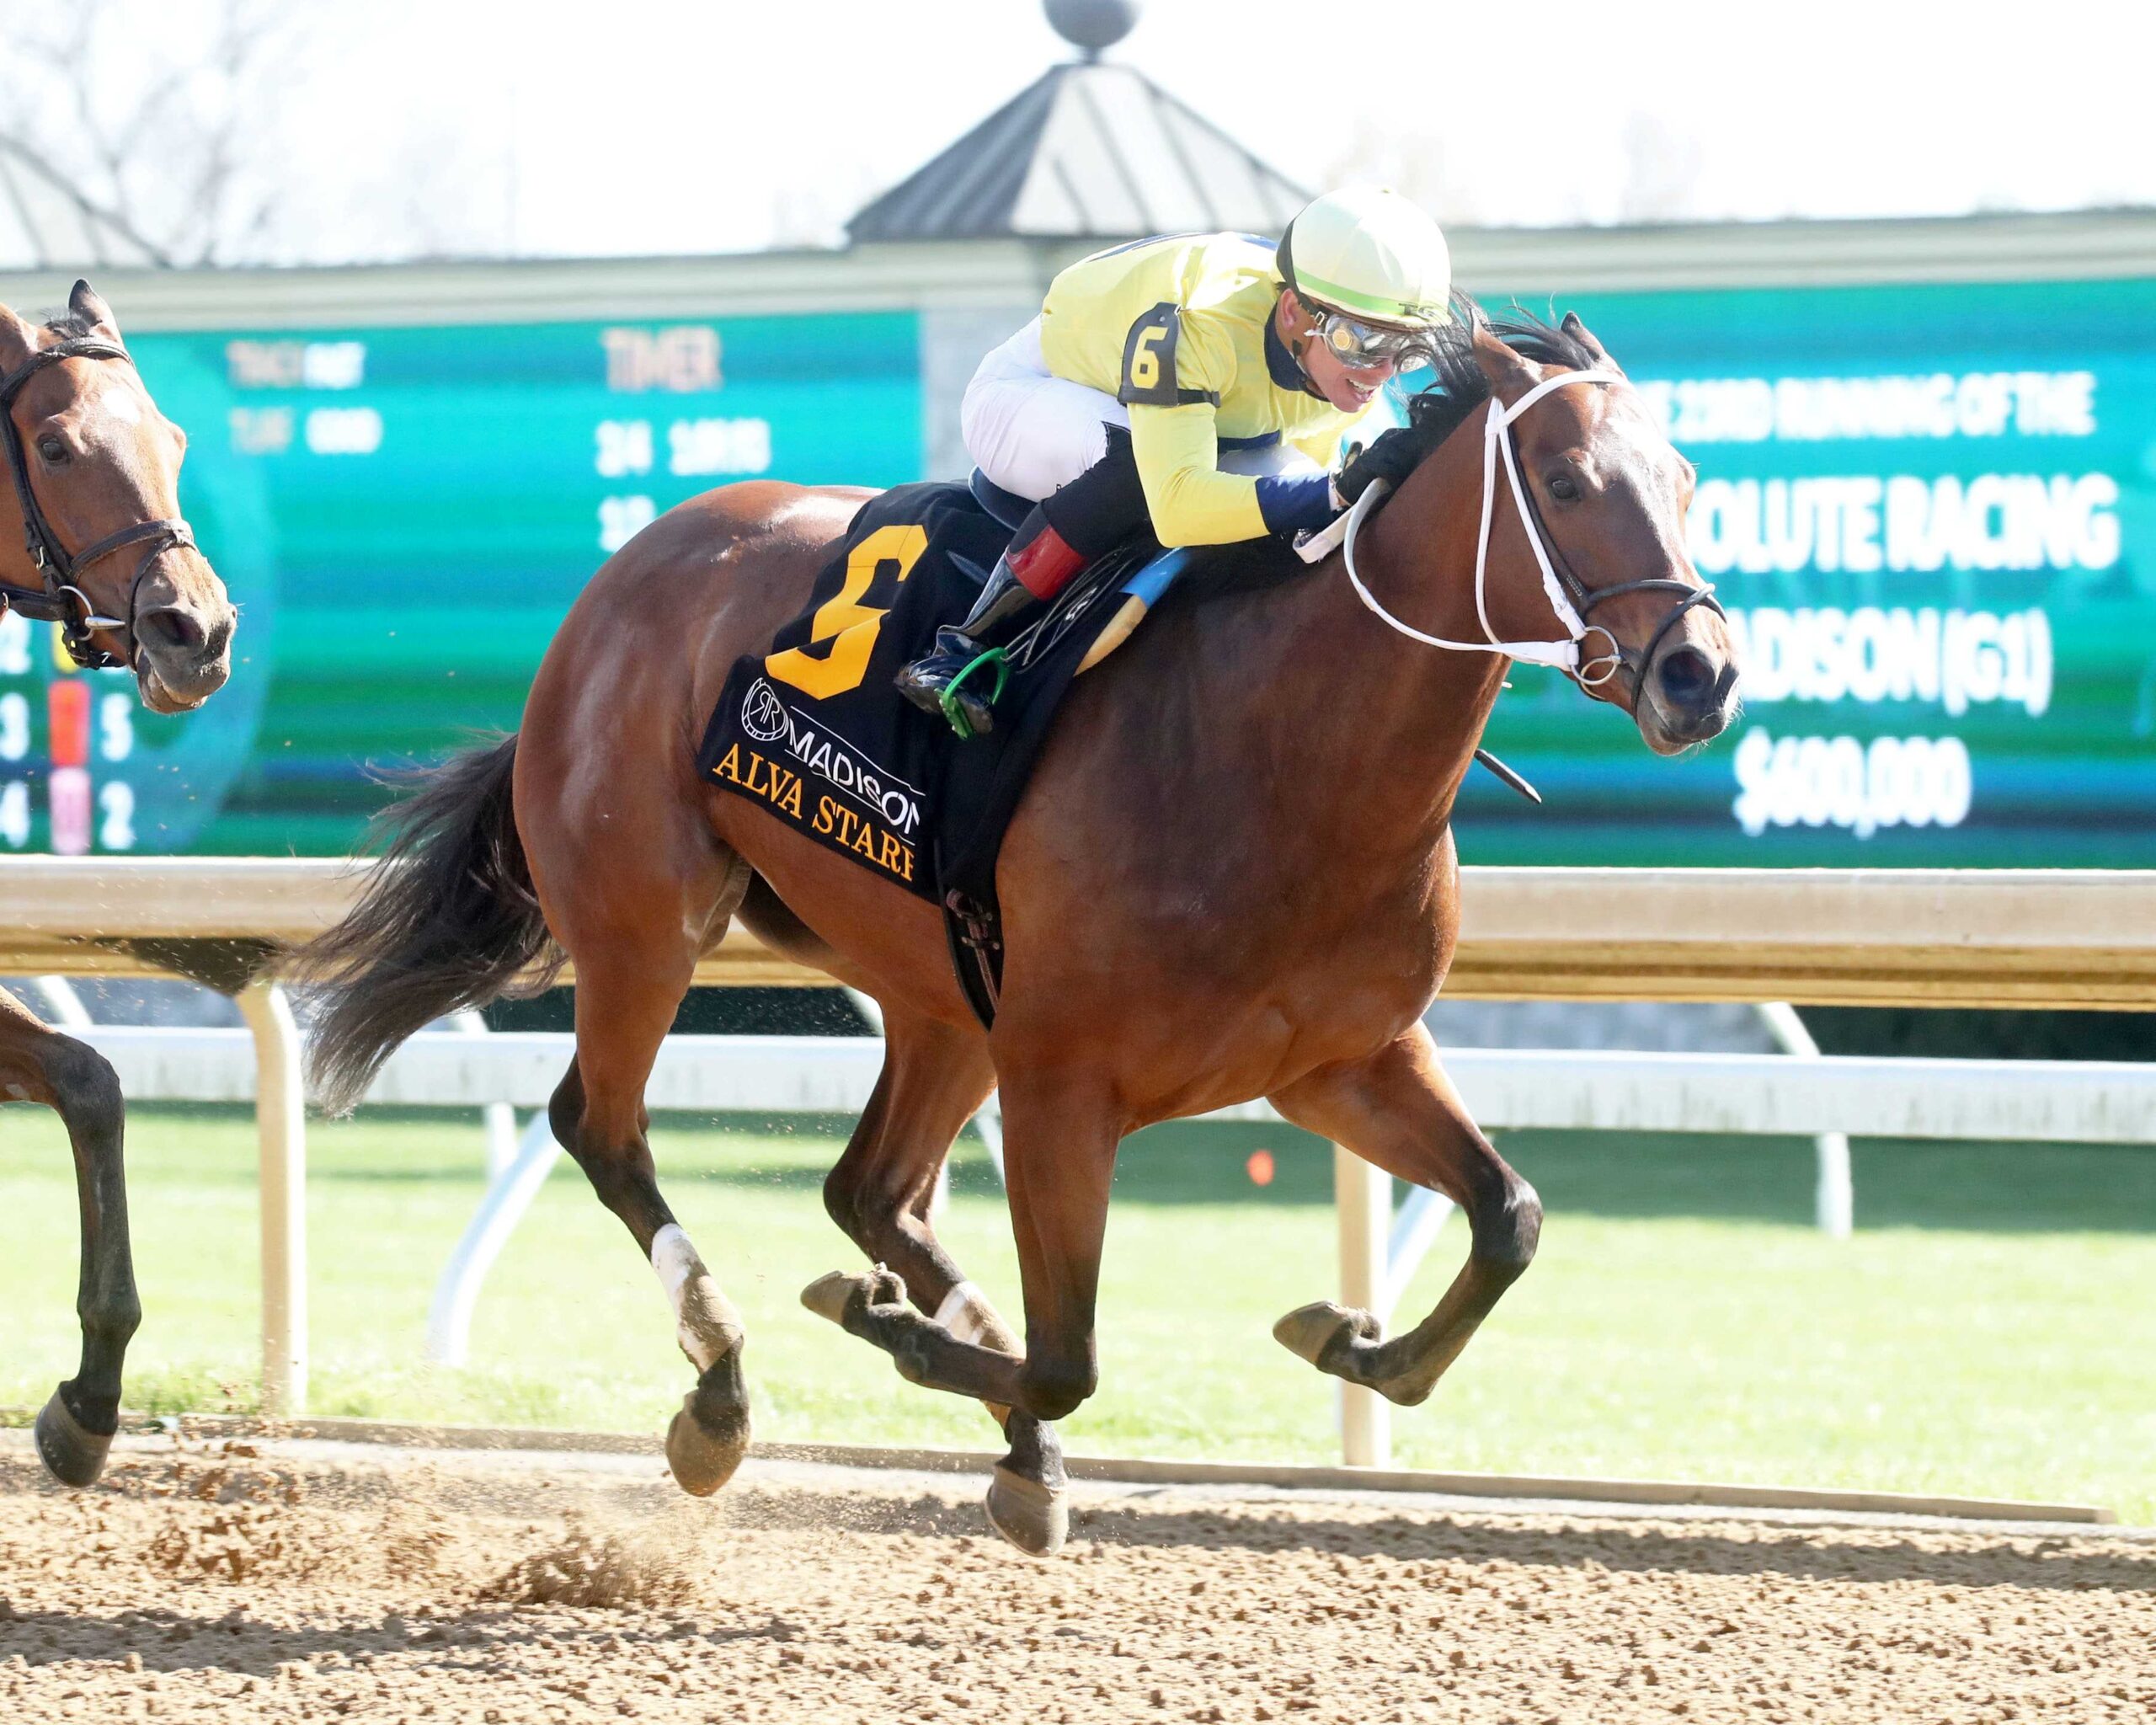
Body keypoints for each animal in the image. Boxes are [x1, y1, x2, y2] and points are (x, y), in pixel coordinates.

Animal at [301, 309, 1738, 1556]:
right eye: (1564, 479)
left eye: (1683, 475)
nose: (1701, 673)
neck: (1283, 752)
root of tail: (626, 574)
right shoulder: (1064, 1083)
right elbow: (1071, 1358)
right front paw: (900, 1338)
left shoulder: (1344, 1063)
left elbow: (1509, 1218)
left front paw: (1348, 1340)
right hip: (646, 923)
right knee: (604, 1130)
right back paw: (723, 1385)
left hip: (939, 995)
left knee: (869, 1191)